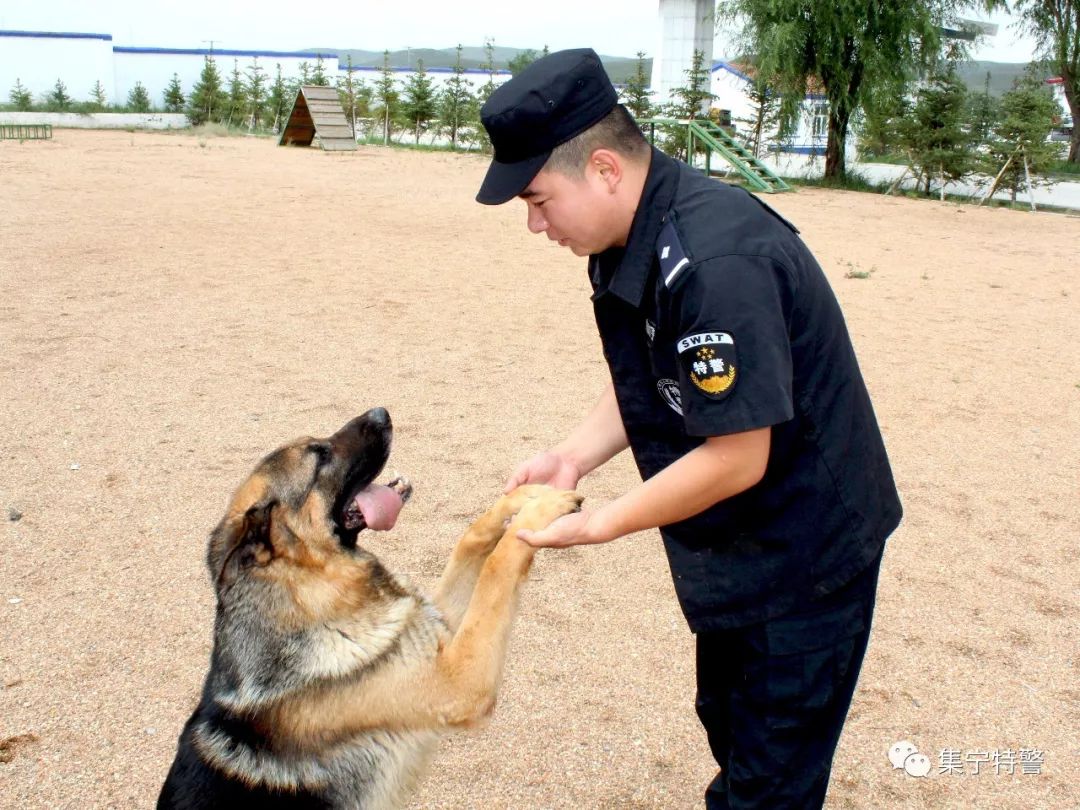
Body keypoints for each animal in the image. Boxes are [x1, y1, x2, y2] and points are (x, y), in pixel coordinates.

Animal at [157, 408, 583, 807]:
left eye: (319, 442)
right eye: (320, 455)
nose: (382, 412)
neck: (312, 587)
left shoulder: (438, 629)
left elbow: (473, 536)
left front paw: (526, 494)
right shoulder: (461, 679)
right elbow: (499, 563)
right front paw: (543, 508)